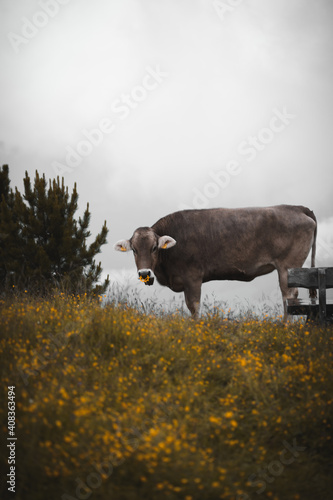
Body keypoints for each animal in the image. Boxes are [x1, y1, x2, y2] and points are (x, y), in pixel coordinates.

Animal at [114, 205, 316, 318]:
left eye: (154, 248)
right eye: (134, 250)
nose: (144, 273)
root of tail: (295, 207)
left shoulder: (193, 278)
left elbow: (193, 307)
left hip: (287, 267)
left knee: (288, 297)